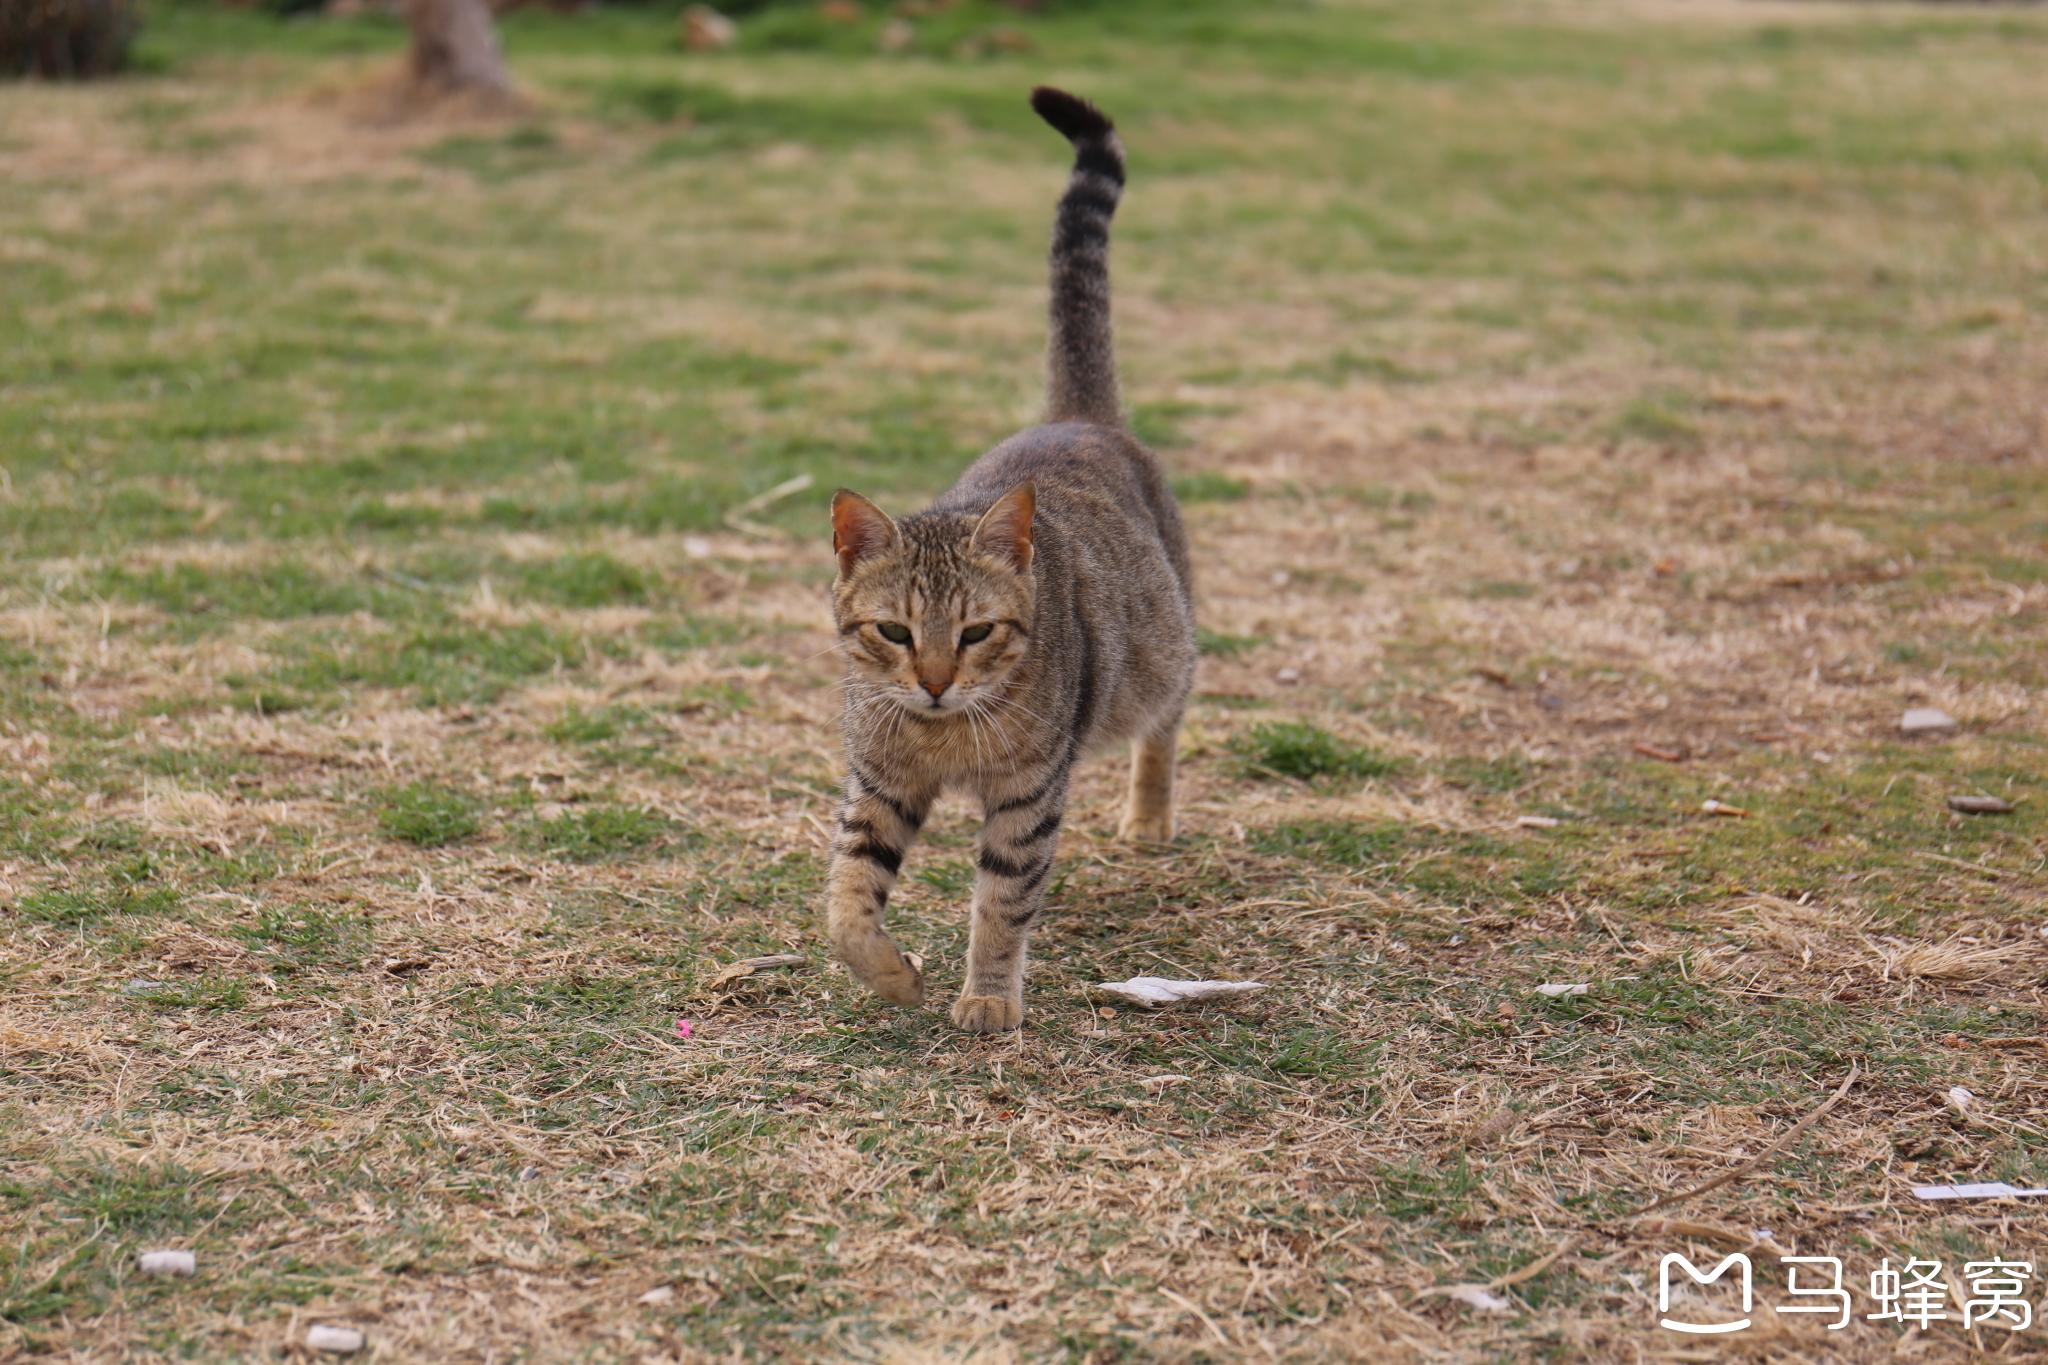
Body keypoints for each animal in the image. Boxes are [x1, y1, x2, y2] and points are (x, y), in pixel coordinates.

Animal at [819, 85, 1196, 1035]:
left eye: (977, 632)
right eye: (894, 632)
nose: (934, 682)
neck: (945, 735)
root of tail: (1079, 415)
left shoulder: (1027, 799)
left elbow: (1001, 901)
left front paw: (988, 995)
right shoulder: (878, 786)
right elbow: (846, 899)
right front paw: (891, 974)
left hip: (1165, 655)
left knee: (1164, 727)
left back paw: (1149, 814)